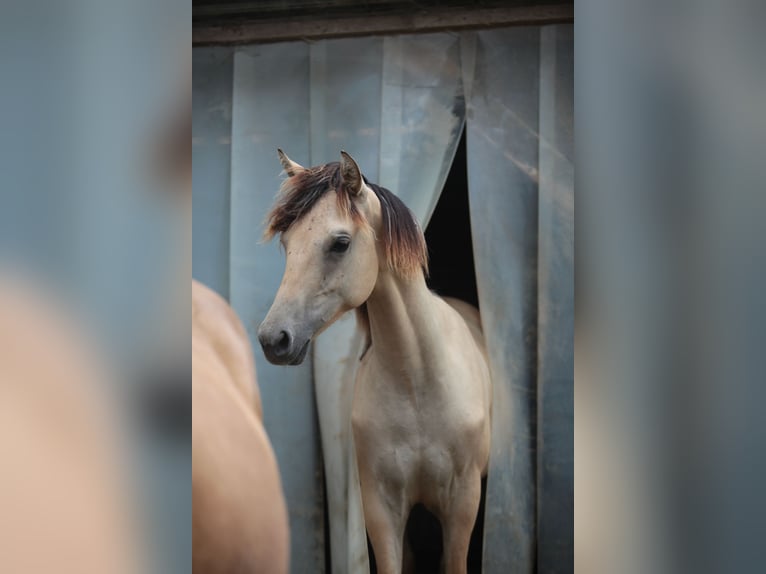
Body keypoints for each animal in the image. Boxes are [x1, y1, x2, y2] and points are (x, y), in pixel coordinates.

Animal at [260, 151, 496, 572]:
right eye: (286, 242)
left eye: (340, 243)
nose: (274, 339)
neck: (417, 383)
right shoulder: (381, 509)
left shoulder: (462, 506)